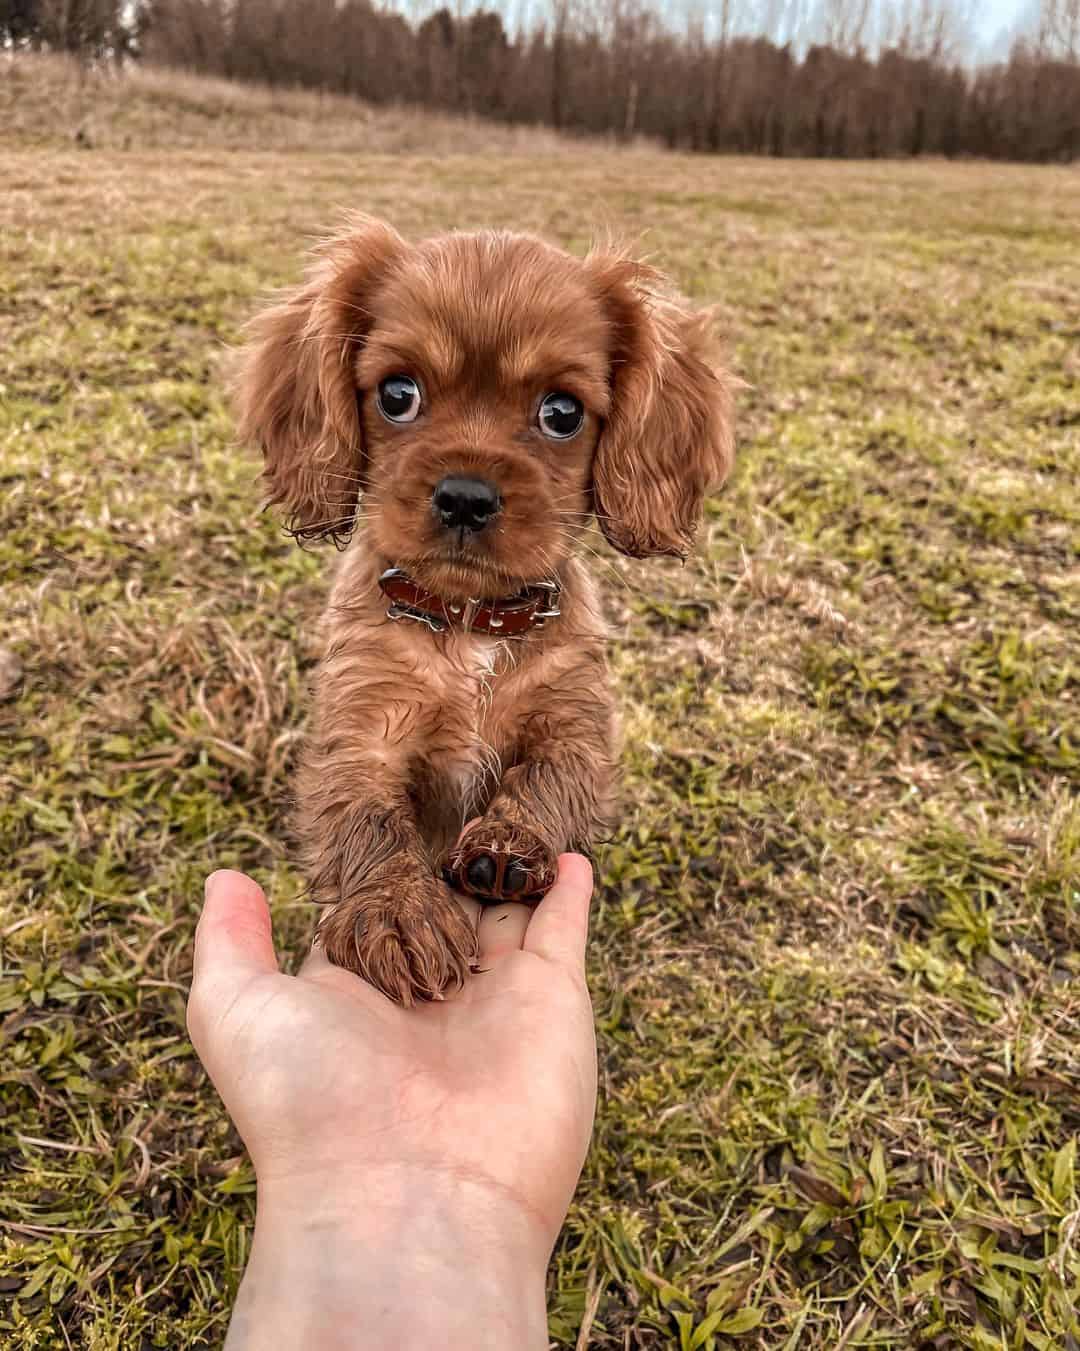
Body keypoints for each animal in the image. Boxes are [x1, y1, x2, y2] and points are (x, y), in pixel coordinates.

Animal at [233, 218, 735, 1005]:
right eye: (397, 394)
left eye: (561, 413)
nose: (465, 496)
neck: (471, 627)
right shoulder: (363, 732)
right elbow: (369, 815)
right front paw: (398, 911)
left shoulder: (575, 729)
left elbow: (546, 780)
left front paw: (507, 845)